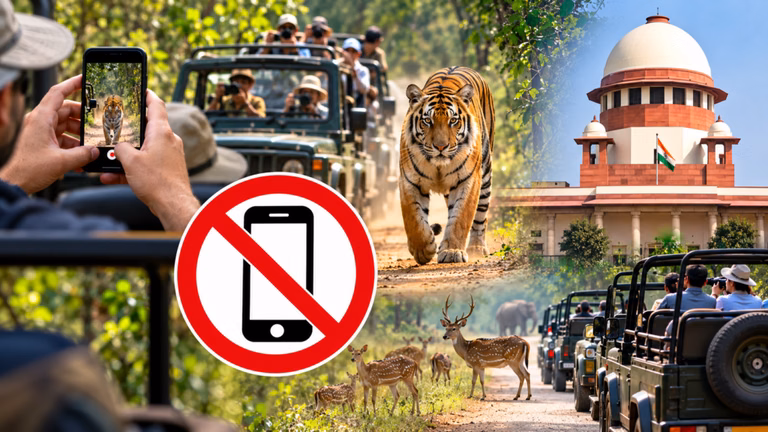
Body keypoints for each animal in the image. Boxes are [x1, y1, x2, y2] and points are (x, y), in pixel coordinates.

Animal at [399, 66, 494, 265]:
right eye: (428, 121)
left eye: (453, 121)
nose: (441, 147)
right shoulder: (409, 181)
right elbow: (413, 219)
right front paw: (423, 249)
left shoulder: (469, 180)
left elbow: (461, 217)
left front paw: (452, 252)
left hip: (486, 173)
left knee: (480, 214)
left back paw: (476, 248)